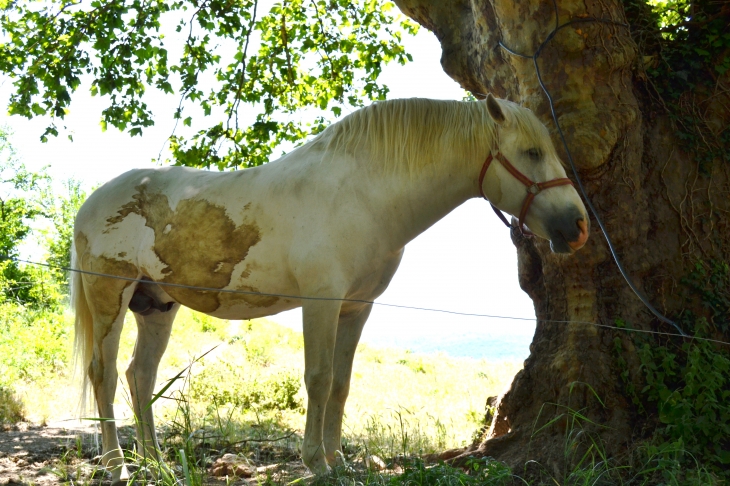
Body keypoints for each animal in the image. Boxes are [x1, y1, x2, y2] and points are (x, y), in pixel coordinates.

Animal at [71, 93, 588, 480]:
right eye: (532, 153)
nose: (579, 226)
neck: (362, 193)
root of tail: (92, 202)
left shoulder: (357, 308)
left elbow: (340, 383)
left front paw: (338, 460)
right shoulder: (321, 302)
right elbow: (317, 379)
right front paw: (314, 462)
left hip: (156, 307)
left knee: (141, 376)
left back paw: (155, 462)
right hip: (110, 299)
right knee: (106, 374)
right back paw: (117, 465)